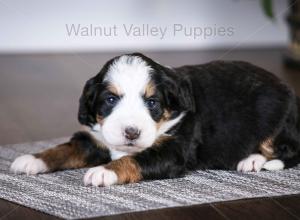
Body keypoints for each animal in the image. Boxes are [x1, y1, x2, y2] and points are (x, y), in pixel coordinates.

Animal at [9, 52, 300, 186]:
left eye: (152, 103)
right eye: (110, 100)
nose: (131, 132)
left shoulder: (173, 151)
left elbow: (134, 159)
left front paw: (103, 171)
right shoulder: (95, 138)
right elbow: (64, 148)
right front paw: (31, 159)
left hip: (275, 114)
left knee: (288, 149)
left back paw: (252, 160)